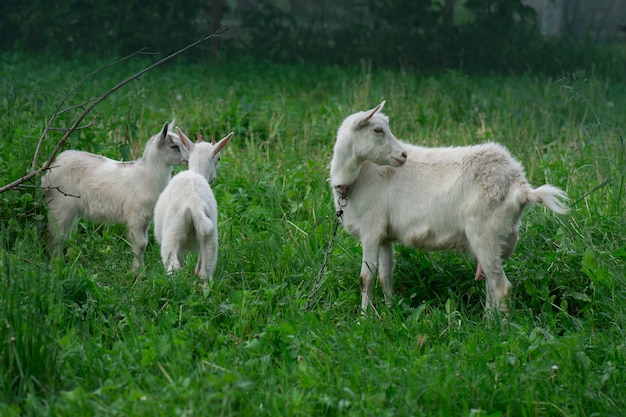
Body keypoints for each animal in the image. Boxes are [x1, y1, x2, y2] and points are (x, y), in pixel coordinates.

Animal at [41, 120, 189, 270]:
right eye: (174, 146)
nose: (188, 158)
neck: (146, 175)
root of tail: (49, 171)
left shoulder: (145, 219)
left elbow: (145, 242)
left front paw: (140, 268)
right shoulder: (135, 217)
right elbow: (140, 243)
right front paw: (137, 270)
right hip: (61, 204)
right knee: (56, 234)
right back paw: (56, 263)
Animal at [154, 127, 234, 282]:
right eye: (219, 158)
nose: (214, 178)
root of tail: (194, 204)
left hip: (172, 233)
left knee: (174, 267)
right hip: (210, 237)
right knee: (205, 272)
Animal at [330, 101, 568, 312]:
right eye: (378, 130)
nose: (403, 155)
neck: (356, 178)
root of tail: (520, 186)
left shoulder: (370, 231)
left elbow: (365, 278)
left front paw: (364, 318)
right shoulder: (383, 235)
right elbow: (385, 275)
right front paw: (389, 311)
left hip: (486, 234)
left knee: (501, 287)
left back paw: (501, 328)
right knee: (491, 284)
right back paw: (488, 320)